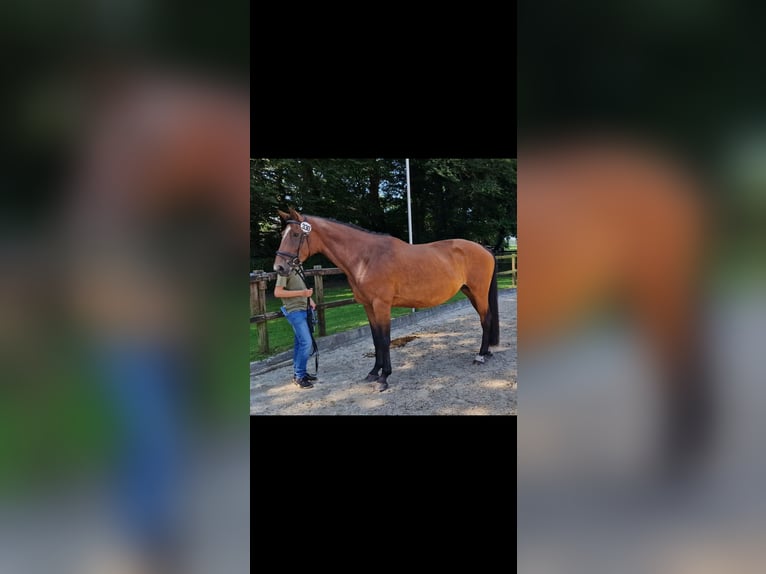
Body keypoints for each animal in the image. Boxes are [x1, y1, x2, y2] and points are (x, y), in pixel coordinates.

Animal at [273, 207, 500, 391]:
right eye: (283, 235)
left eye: (295, 234)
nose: (279, 268)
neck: (366, 258)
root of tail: (484, 249)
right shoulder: (368, 306)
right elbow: (375, 340)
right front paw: (374, 372)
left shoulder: (382, 305)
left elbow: (384, 339)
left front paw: (384, 378)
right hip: (470, 292)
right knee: (485, 319)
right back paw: (487, 353)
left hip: (479, 293)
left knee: (485, 319)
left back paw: (480, 355)